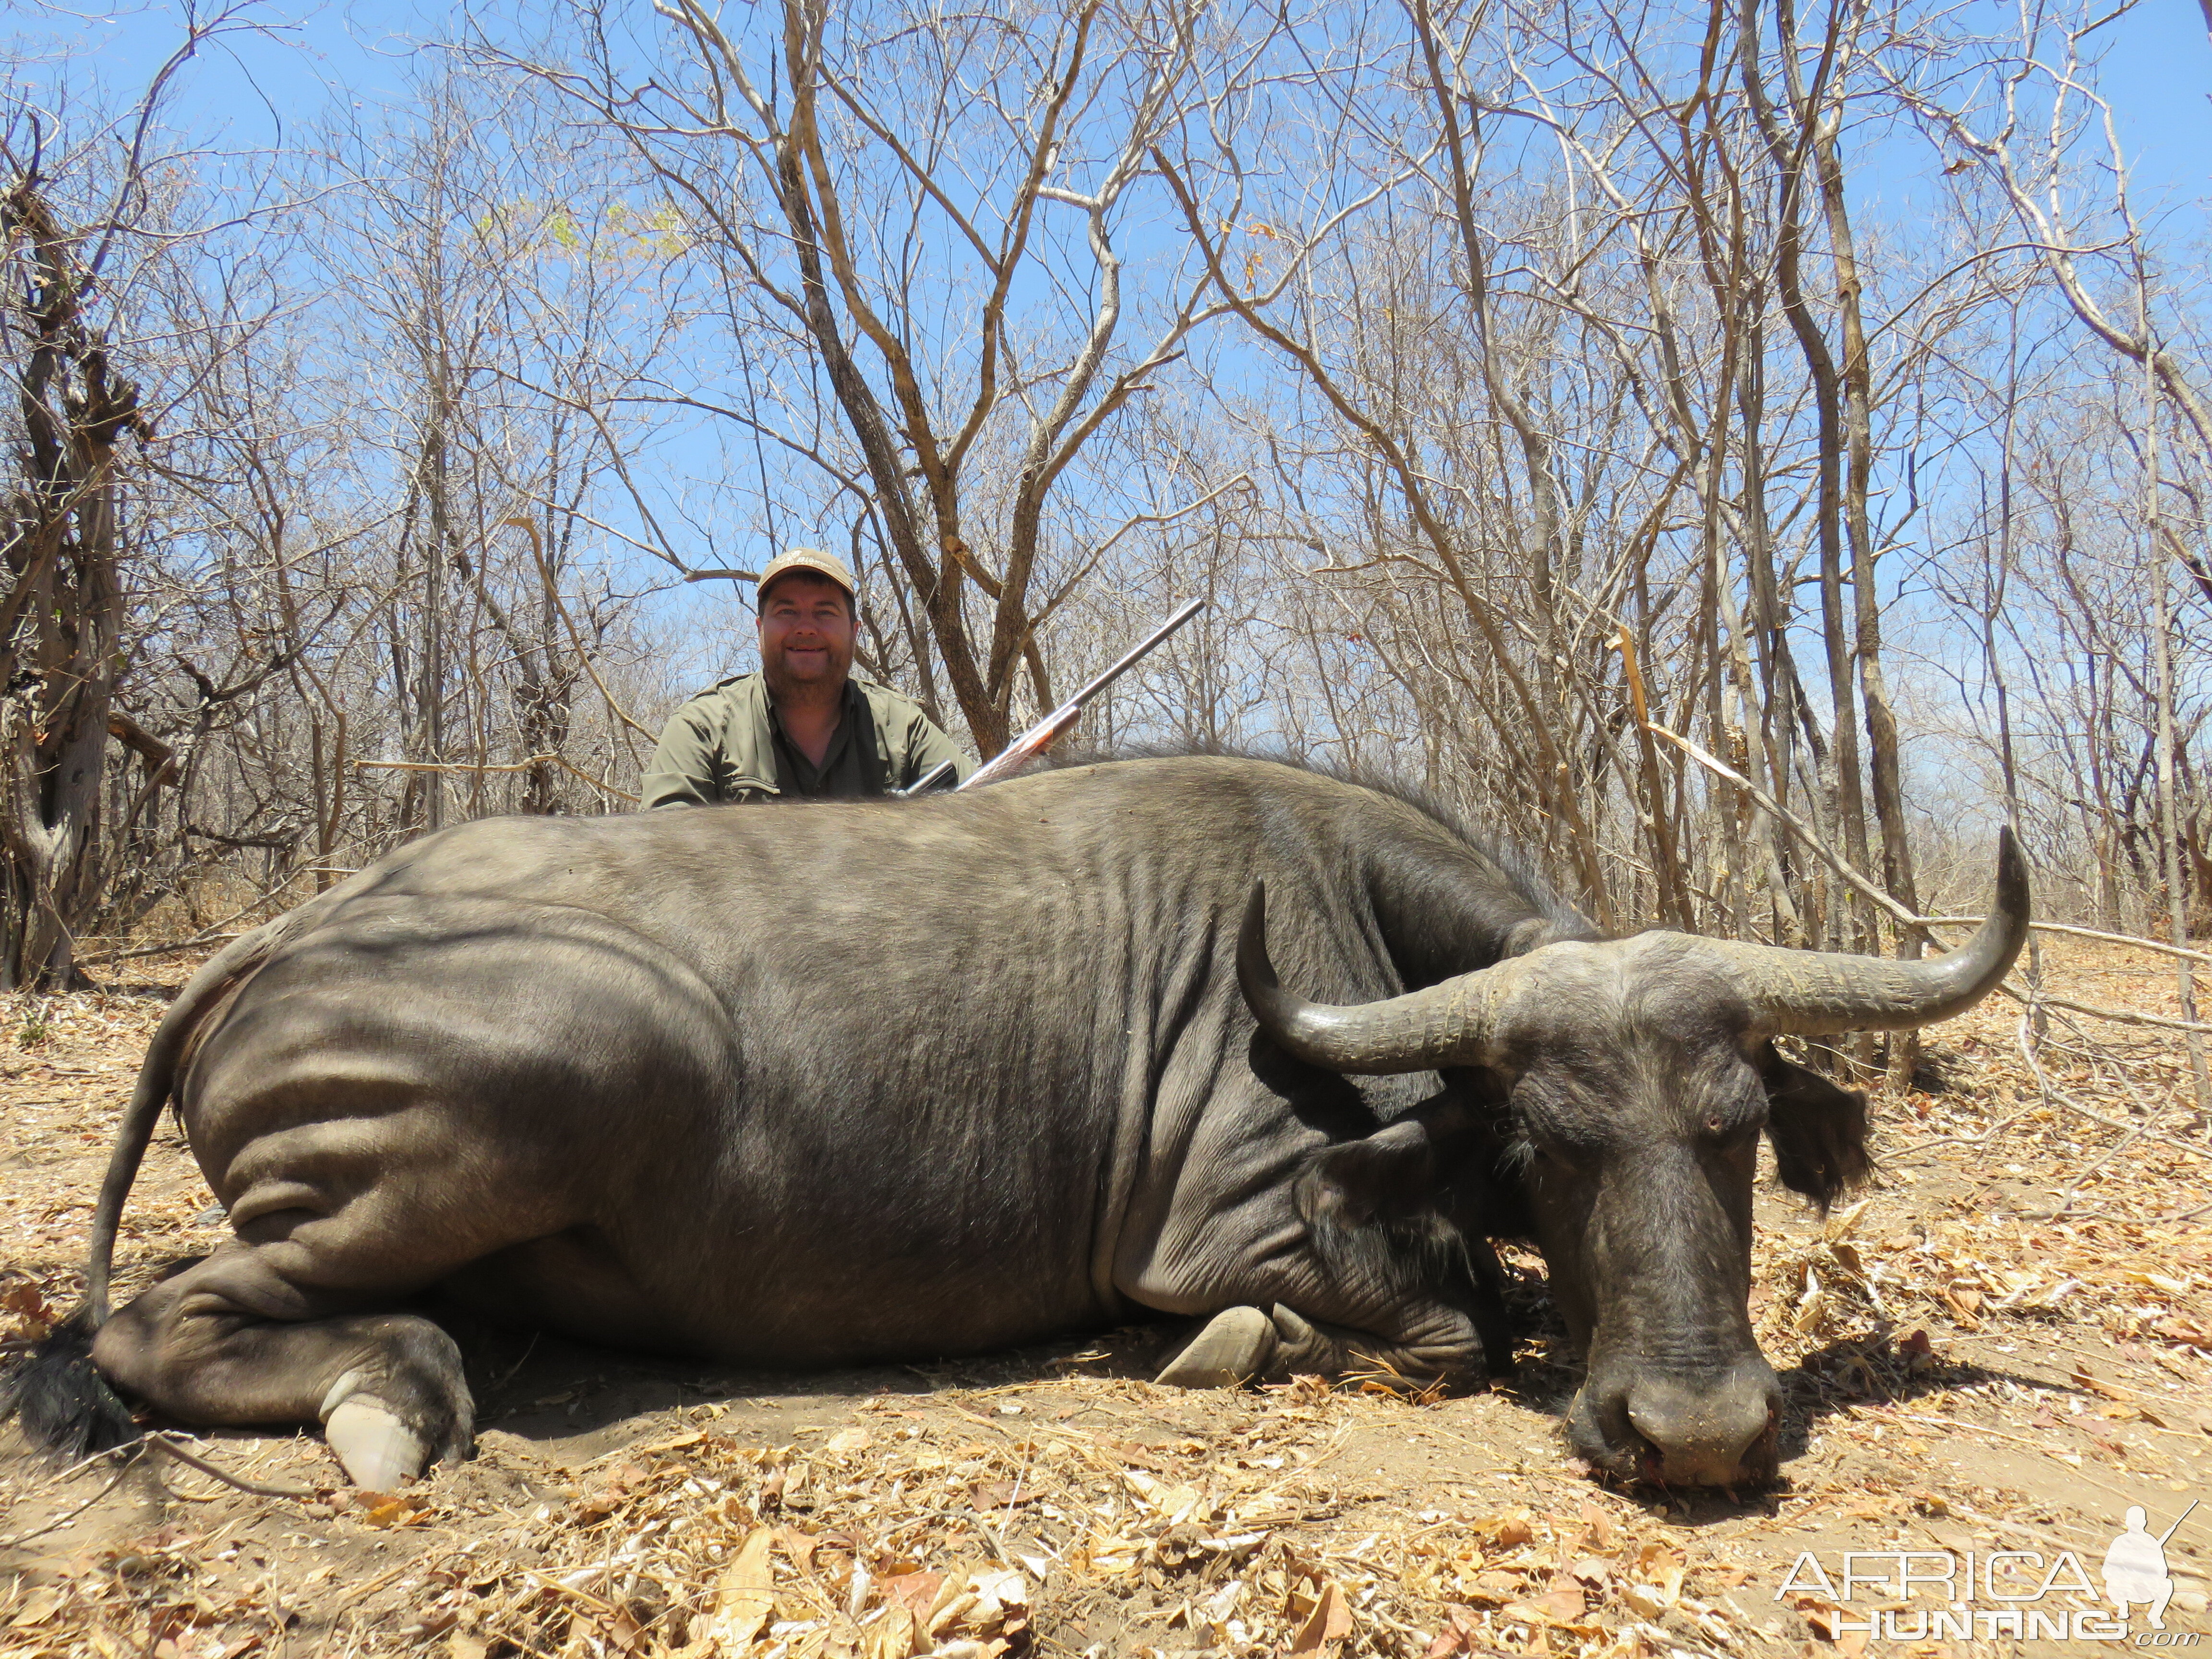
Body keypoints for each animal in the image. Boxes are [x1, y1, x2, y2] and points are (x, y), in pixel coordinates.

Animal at [0, 756, 2026, 1495]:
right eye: (1543, 1136)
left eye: (1734, 1125)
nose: (1695, 1431)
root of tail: (282, 935)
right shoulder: (1227, 1228)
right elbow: (1447, 1313)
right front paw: (1240, 1347)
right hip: (572, 1065)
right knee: (156, 1316)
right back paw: (389, 1392)